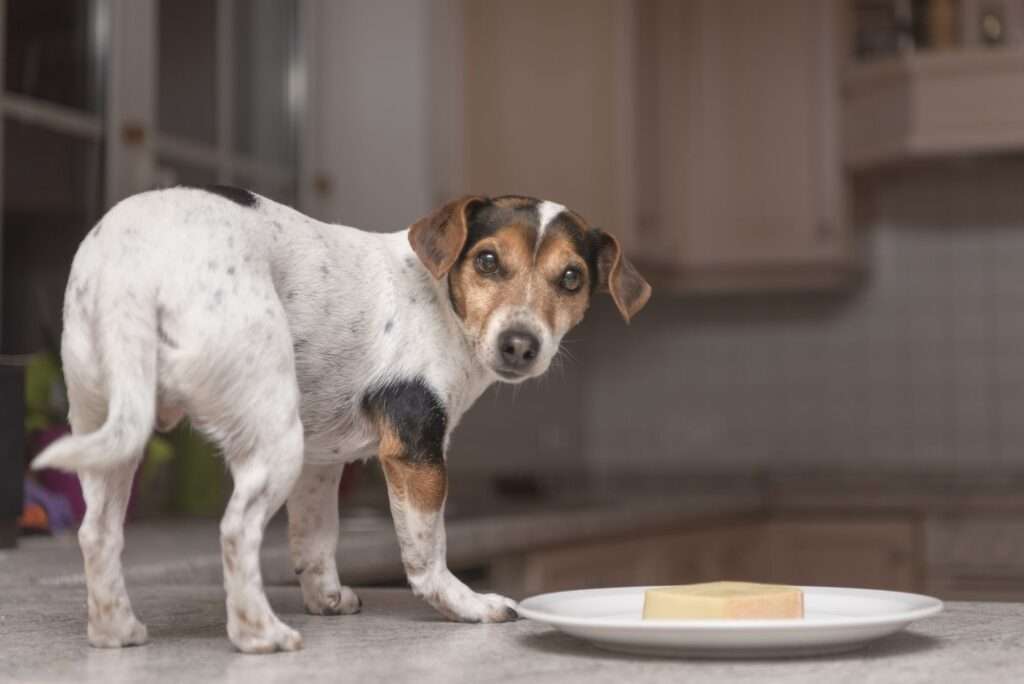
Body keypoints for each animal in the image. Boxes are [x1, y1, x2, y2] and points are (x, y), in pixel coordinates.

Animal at [36, 185, 651, 651]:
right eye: (487, 261)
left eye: (571, 278)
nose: (519, 345)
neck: (439, 300)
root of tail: (138, 269)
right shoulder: (415, 453)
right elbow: (427, 552)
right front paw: (465, 605)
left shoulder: (319, 464)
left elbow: (315, 539)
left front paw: (326, 598)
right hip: (273, 437)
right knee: (236, 530)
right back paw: (259, 636)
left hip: (112, 430)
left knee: (98, 533)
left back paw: (115, 630)